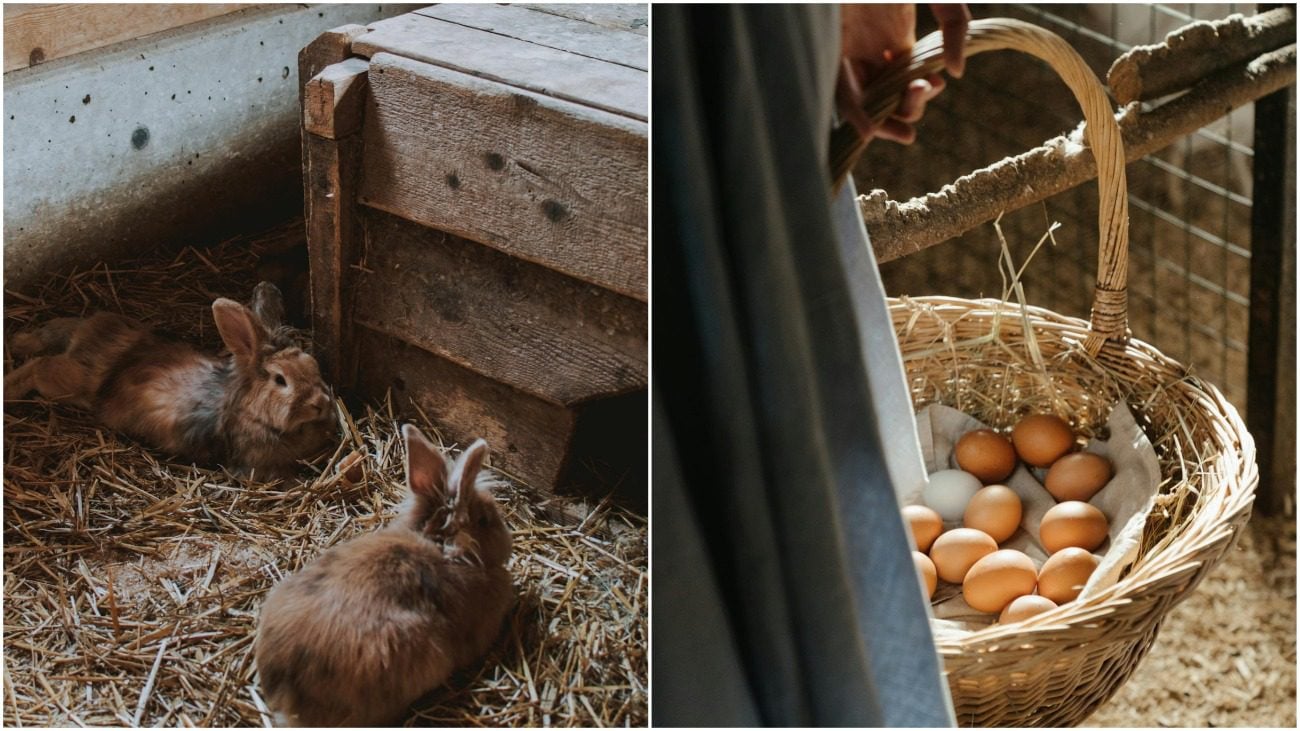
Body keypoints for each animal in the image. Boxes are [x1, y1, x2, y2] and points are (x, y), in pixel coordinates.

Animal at [3, 279, 335, 478]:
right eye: (280, 380)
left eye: (312, 365)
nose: (320, 403)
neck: (253, 414)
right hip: (69, 383)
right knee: (40, 365)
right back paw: (9, 386)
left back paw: (18, 342)